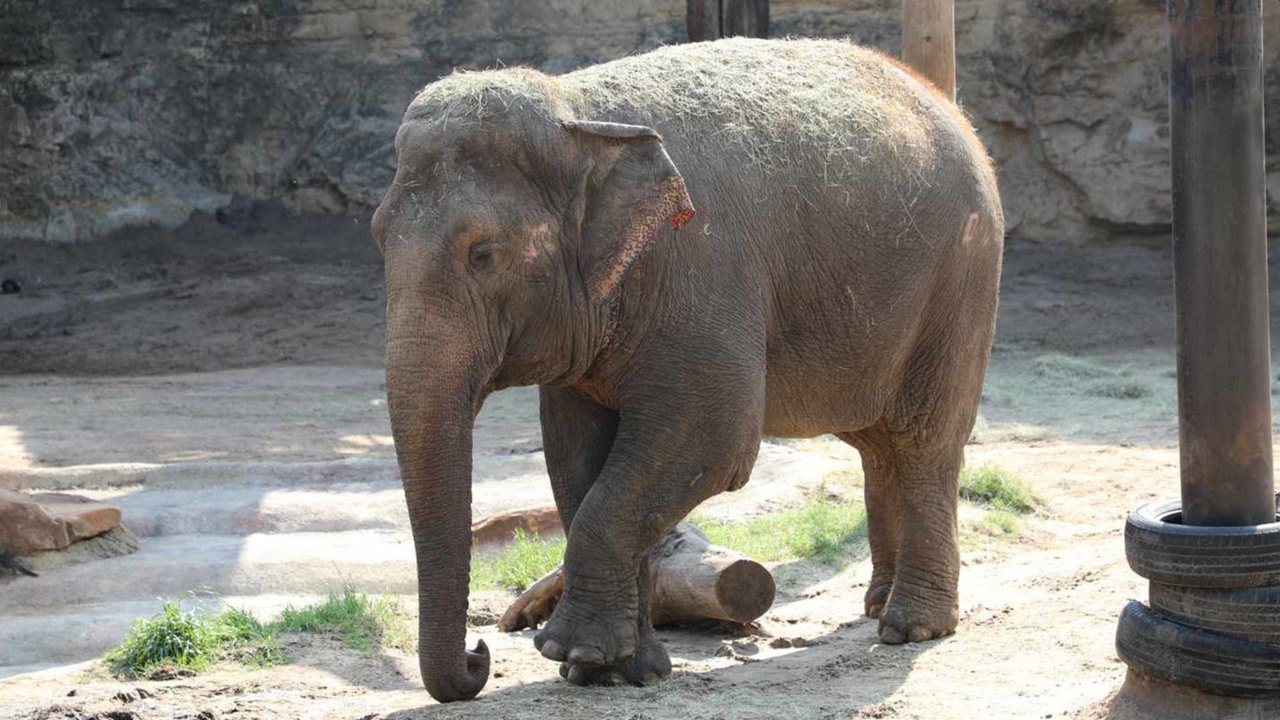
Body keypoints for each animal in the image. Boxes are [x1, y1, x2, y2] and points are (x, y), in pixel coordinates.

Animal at [372, 37, 1003, 702]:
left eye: (483, 253)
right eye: (377, 237)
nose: (480, 652)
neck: (578, 112)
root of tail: (948, 106)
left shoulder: (703, 270)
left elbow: (714, 439)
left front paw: (572, 652)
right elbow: (574, 457)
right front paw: (622, 669)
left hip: (961, 281)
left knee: (925, 442)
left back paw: (911, 628)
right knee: (878, 447)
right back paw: (877, 604)